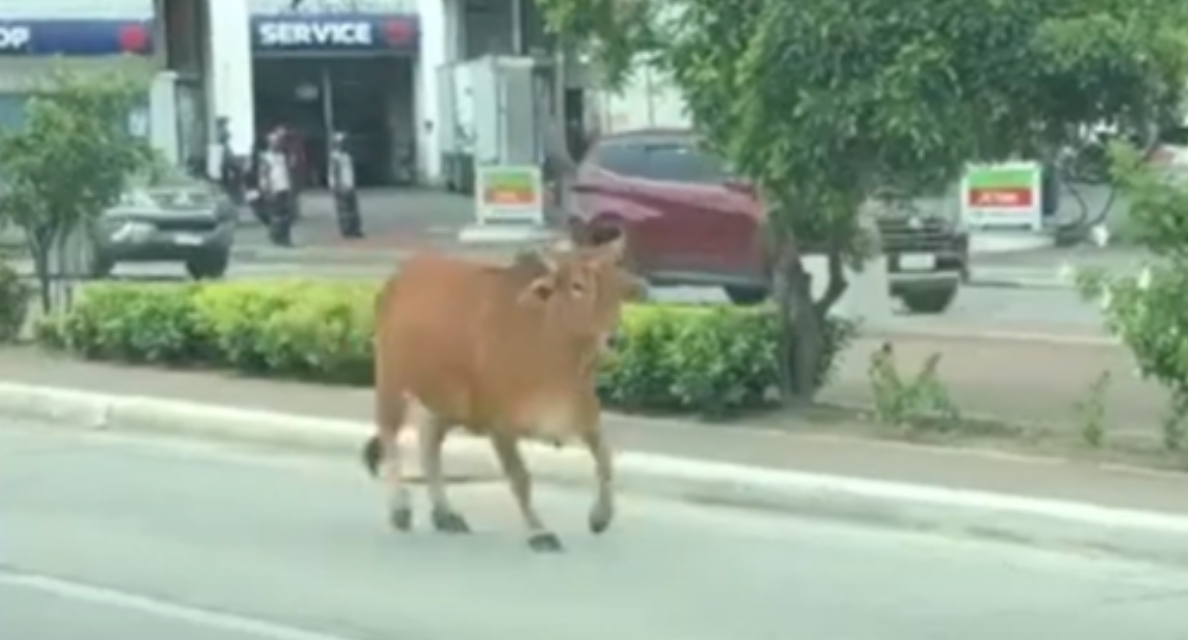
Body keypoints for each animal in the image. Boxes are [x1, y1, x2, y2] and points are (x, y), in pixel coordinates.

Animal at [361, 235, 646, 550]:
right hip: (392, 382)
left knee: (429, 446)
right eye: (577, 286)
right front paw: (539, 531)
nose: (615, 339)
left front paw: (600, 517)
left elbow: (605, 461)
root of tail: (401, 275)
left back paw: (445, 513)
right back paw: (400, 508)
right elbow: (520, 478)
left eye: (616, 287)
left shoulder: (586, 417)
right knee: (390, 435)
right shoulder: (500, 426)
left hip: (445, 402)